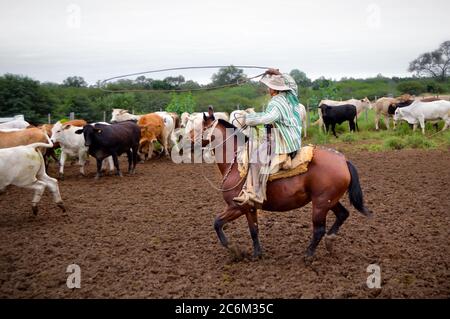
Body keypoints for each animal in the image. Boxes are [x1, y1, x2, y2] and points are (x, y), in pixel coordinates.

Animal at [203, 112, 372, 262]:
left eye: (200, 126)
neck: (237, 163)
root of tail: (343, 161)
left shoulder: (237, 207)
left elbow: (217, 223)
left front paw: (235, 250)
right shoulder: (250, 208)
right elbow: (254, 230)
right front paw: (257, 254)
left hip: (321, 203)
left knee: (319, 229)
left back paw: (308, 255)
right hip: (329, 201)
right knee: (342, 214)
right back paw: (329, 241)